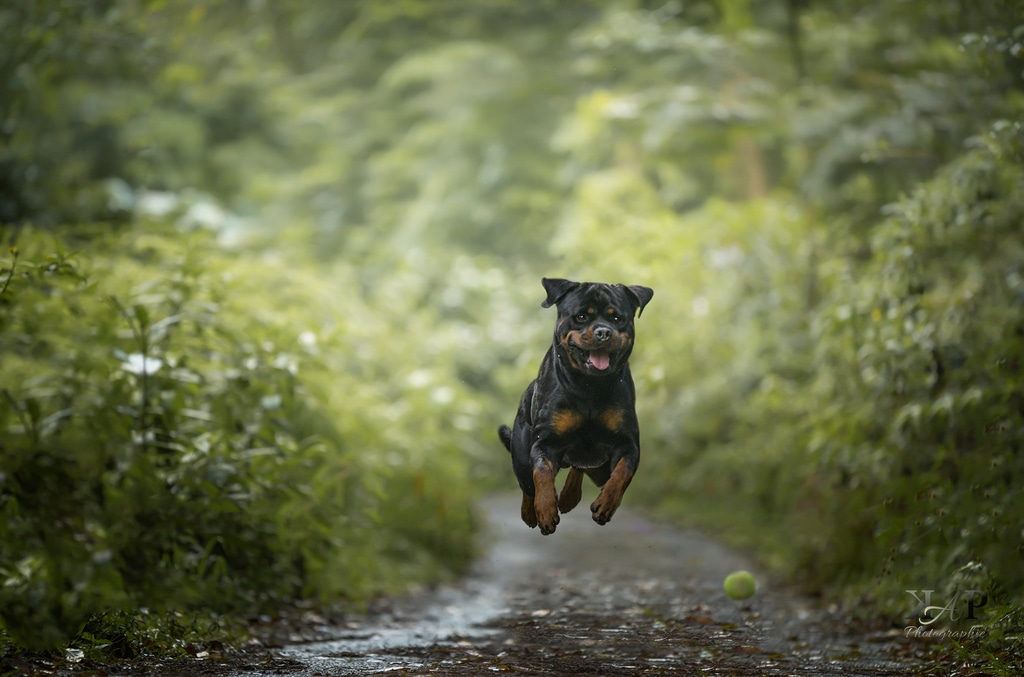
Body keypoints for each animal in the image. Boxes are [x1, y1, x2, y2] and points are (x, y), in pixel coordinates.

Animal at [497, 274, 655, 532]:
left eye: (617, 318)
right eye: (581, 317)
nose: (603, 332)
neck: (589, 386)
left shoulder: (628, 444)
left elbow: (622, 473)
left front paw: (605, 504)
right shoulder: (544, 442)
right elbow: (541, 474)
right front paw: (545, 511)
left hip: (597, 466)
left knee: (581, 467)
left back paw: (569, 498)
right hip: (520, 453)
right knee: (528, 485)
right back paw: (529, 513)